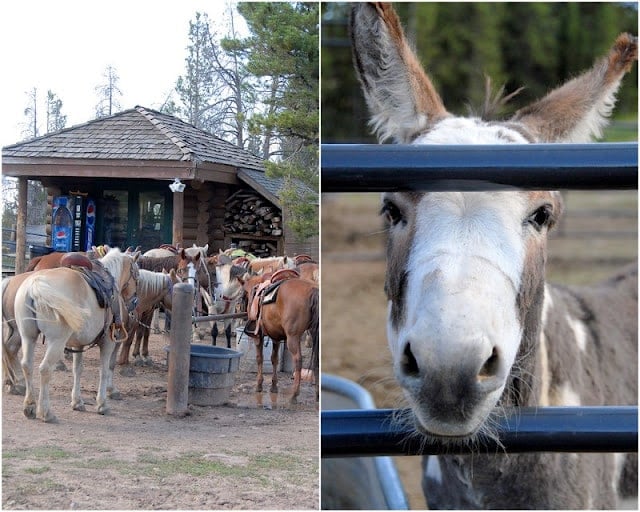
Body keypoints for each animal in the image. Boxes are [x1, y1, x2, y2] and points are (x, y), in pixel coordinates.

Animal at [12, 246, 140, 422]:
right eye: (137, 275)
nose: (134, 303)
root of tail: (35, 284)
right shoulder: (108, 342)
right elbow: (104, 369)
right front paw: (102, 404)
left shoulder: (78, 345)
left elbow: (77, 370)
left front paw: (77, 402)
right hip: (56, 342)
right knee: (45, 369)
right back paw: (46, 412)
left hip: (28, 337)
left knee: (27, 365)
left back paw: (29, 406)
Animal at [241, 272, 318, 404]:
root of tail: (312, 289)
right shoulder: (276, 337)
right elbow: (274, 359)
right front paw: (273, 386)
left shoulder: (258, 336)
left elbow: (259, 358)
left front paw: (259, 385)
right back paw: (317, 395)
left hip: (293, 337)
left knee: (298, 360)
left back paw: (294, 394)